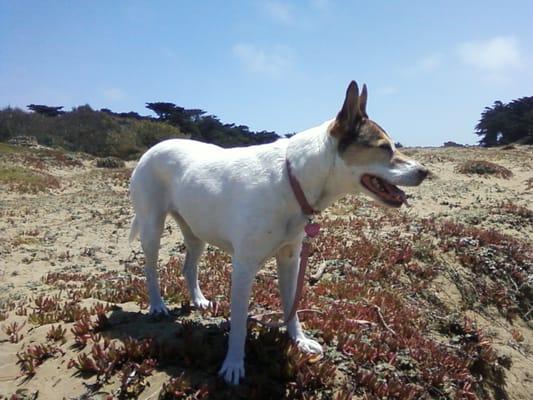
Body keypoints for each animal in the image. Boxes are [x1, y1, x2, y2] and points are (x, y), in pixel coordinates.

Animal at [129, 81, 428, 384]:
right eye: (384, 147)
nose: (425, 172)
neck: (292, 177)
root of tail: (155, 145)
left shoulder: (289, 259)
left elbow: (291, 307)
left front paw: (298, 340)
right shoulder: (244, 266)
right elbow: (240, 323)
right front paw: (234, 363)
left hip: (196, 230)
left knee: (189, 266)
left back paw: (198, 299)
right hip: (152, 227)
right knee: (150, 268)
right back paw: (157, 305)